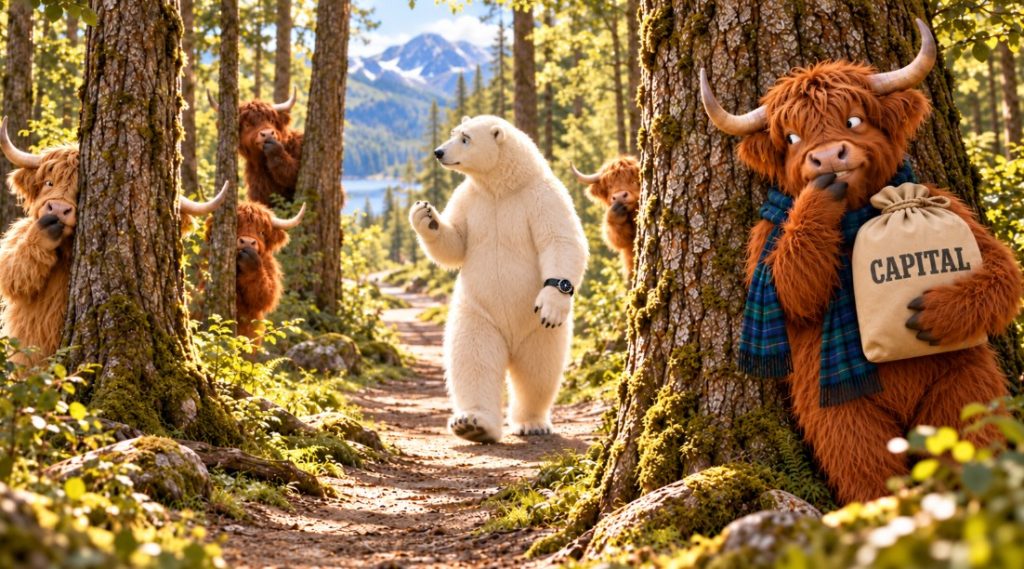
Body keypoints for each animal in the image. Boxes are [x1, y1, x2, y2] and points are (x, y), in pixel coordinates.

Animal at [700, 20, 1023, 504]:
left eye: (853, 120)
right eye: (792, 138)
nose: (827, 157)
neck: (856, 213)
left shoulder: (952, 205)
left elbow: (1002, 272)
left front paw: (931, 315)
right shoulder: (764, 240)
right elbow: (793, 291)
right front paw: (819, 197)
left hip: (964, 381)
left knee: (968, 437)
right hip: (837, 410)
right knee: (864, 465)